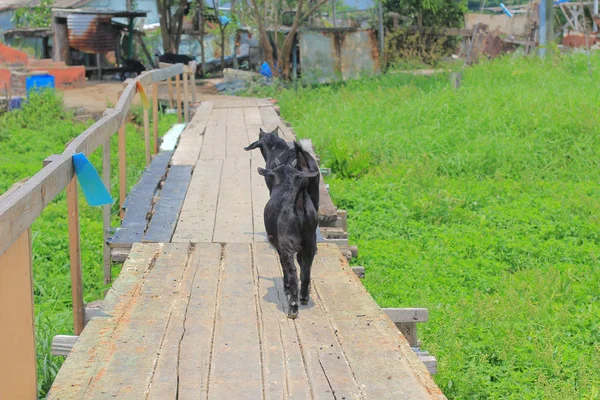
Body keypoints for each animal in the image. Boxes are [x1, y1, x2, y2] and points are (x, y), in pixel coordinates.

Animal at [260, 163, 322, 318]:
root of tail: (299, 200)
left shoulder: (278, 243)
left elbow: (283, 264)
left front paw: (286, 287)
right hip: (310, 242)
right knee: (306, 269)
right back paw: (304, 297)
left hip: (287, 241)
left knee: (292, 269)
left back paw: (293, 307)